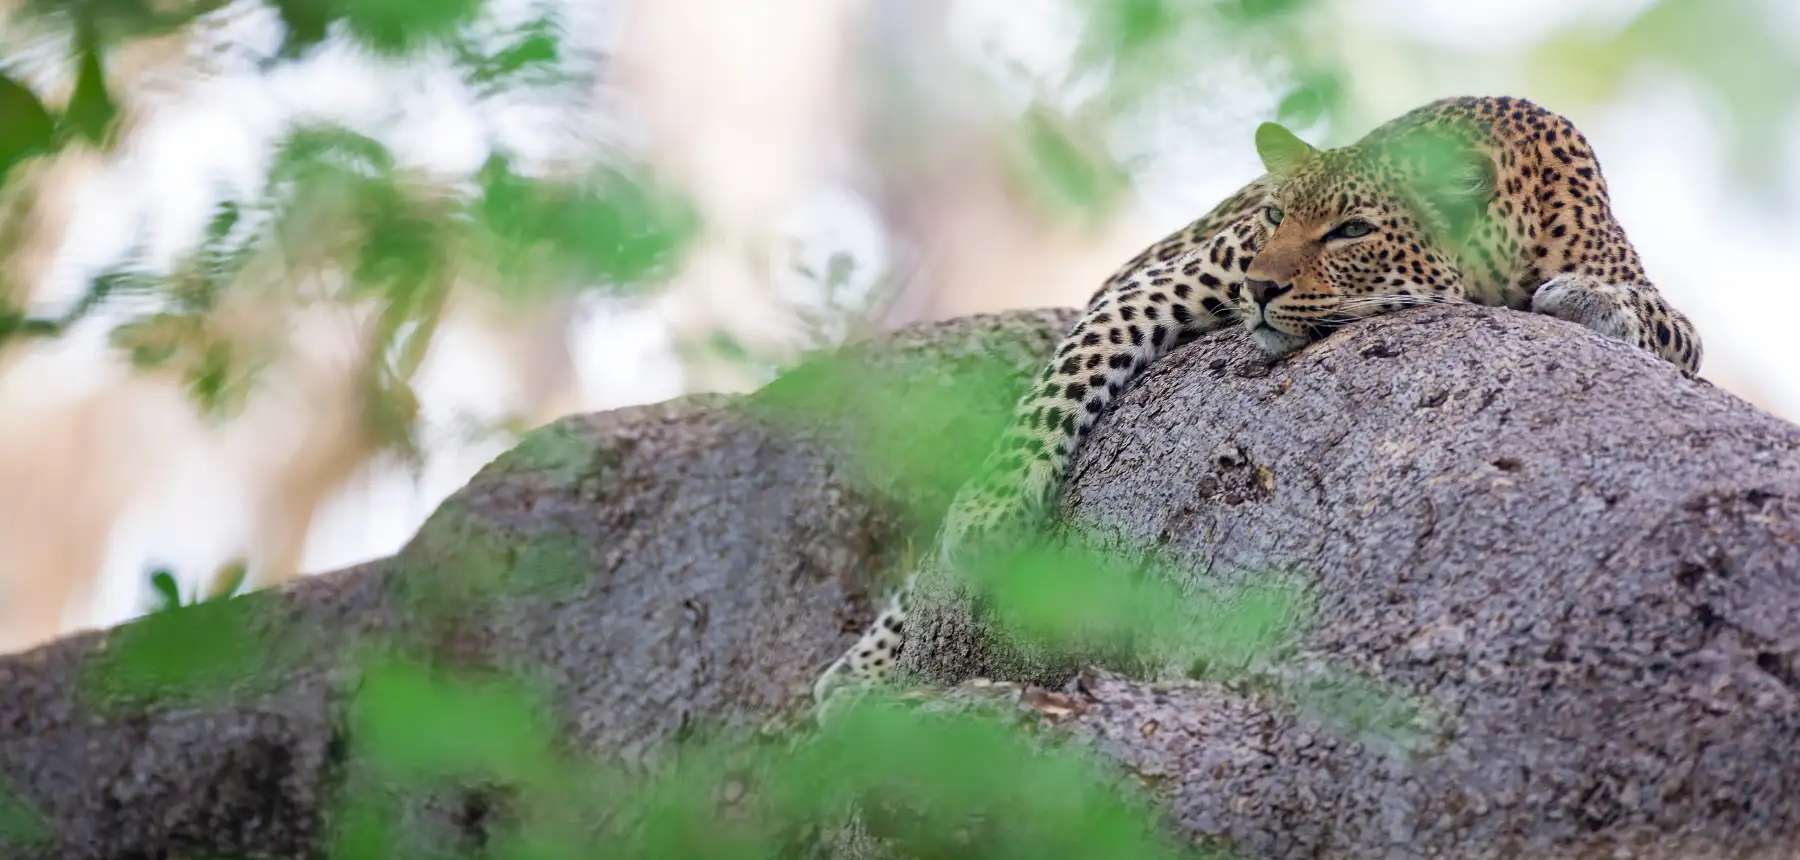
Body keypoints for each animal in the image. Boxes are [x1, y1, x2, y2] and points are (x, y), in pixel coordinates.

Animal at [812, 95, 1703, 706]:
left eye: (1352, 230)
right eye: (1276, 213)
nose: (1260, 286)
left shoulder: (1660, 309)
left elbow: (1666, 325)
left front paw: (1591, 305)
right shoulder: (1172, 278)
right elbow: (1075, 368)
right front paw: (990, 513)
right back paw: (858, 673)